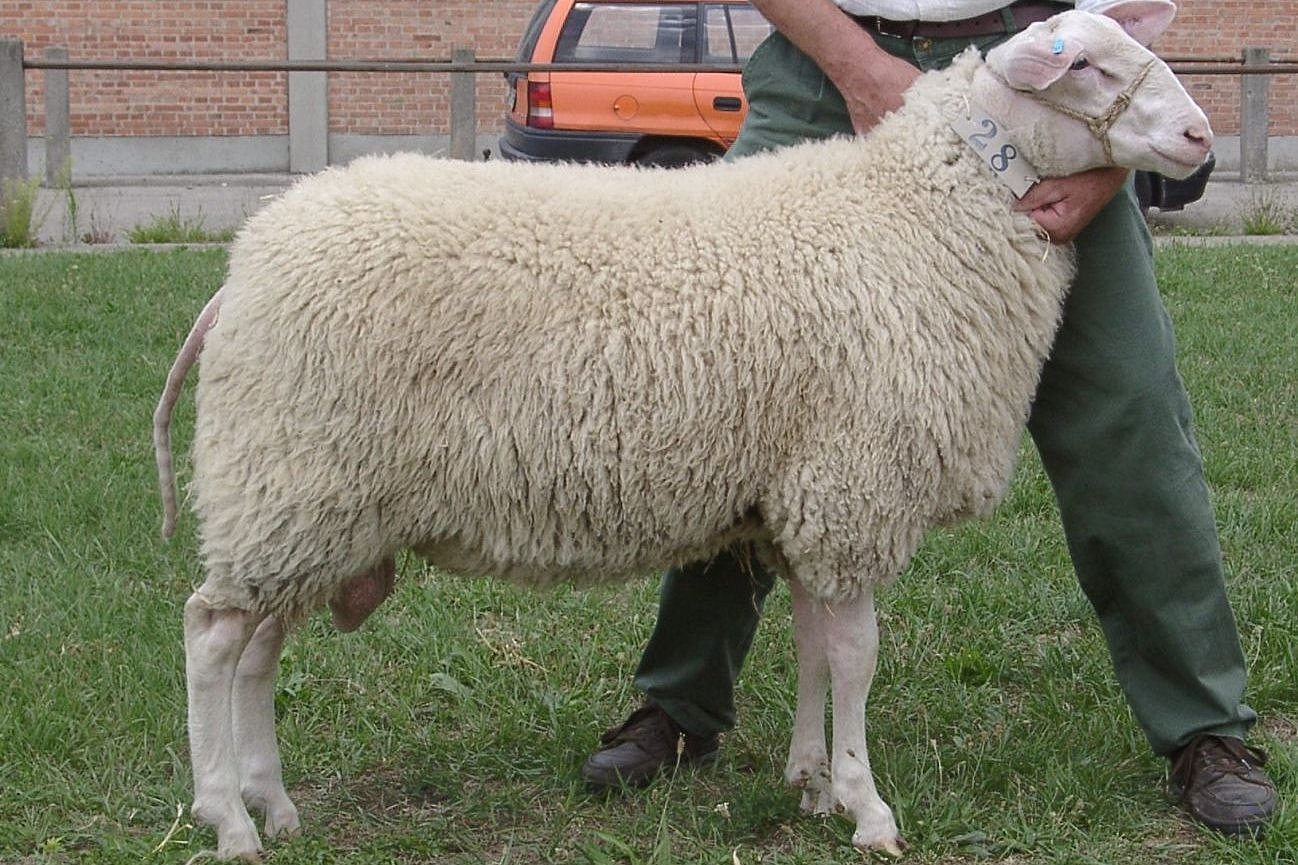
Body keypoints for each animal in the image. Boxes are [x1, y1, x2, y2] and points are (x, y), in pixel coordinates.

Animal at [157, 5, 1209, 857]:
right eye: (1086, 68)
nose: (1199, 135)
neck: (915, 216)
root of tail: (240, 270)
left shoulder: (801, 493)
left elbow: (814, 642)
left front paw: (812, 781)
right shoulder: (851, 481)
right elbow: (856, 653)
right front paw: (867, 805)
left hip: (308, 498)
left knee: (257, 649)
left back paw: (275, 804)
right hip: (295, 474)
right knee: (210, 636)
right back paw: (228, 819)